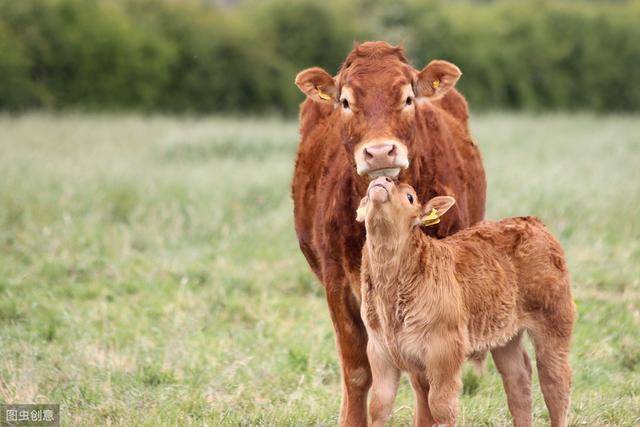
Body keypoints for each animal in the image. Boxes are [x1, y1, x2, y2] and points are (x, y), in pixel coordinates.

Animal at [292, 41, 484, 426]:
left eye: (408, 98)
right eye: (345, 101)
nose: (380, 151)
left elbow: (424, 375)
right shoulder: (337, 283)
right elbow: (356, 371)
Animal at [356, 178, 576, 427]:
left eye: (410, 196)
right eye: (368, 189)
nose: (382, 180)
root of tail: (532, 221)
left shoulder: (445, 350)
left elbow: (441, 406)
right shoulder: (379, 351)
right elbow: (379, 405)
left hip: (554, 320)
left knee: (555, 380)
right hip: (505, 335)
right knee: (518, 379)